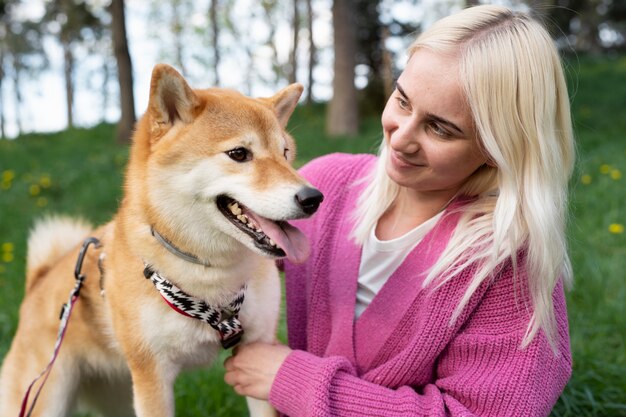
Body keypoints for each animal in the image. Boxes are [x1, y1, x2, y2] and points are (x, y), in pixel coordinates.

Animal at [0, 62, 322, 416]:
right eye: (239, 153)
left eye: (285, 153)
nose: (313, 198)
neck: (209, 273)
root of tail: (36, 286)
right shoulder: (151, 374)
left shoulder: (256, 347)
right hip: (48, 398)